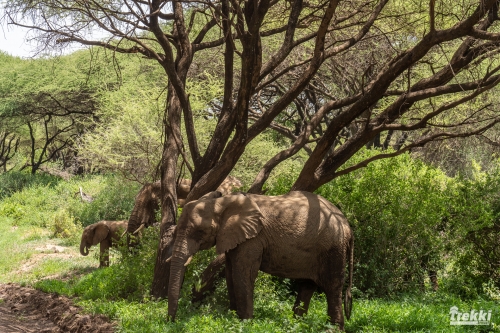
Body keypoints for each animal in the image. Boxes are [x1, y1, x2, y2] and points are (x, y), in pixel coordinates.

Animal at [169, 191, 356, 328]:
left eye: (199, 232)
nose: (171, 322)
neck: (223, 202)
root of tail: (347, 225)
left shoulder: (253, 239)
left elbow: (243, 274)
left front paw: (244, 323)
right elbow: (230, 274)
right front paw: (232, 318)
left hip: (333, 249)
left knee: (332, 287)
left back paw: (333, 329)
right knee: (307, 286)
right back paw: (296, 325)